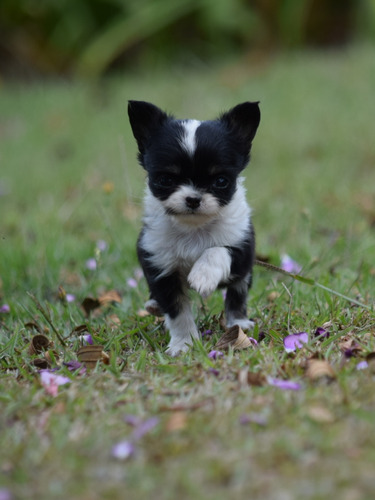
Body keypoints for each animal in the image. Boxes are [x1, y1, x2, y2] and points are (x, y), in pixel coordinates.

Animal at [128, 100, 260, 356]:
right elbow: (177, 312)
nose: (193, 199)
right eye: (165, 180)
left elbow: (216, 250)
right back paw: (153, 304)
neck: (193, 229)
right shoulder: (160, 264)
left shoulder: (241, 247)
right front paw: (184, 343)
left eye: (221, 181)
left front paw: (202, 275)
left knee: (237, 293)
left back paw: (239, 322)